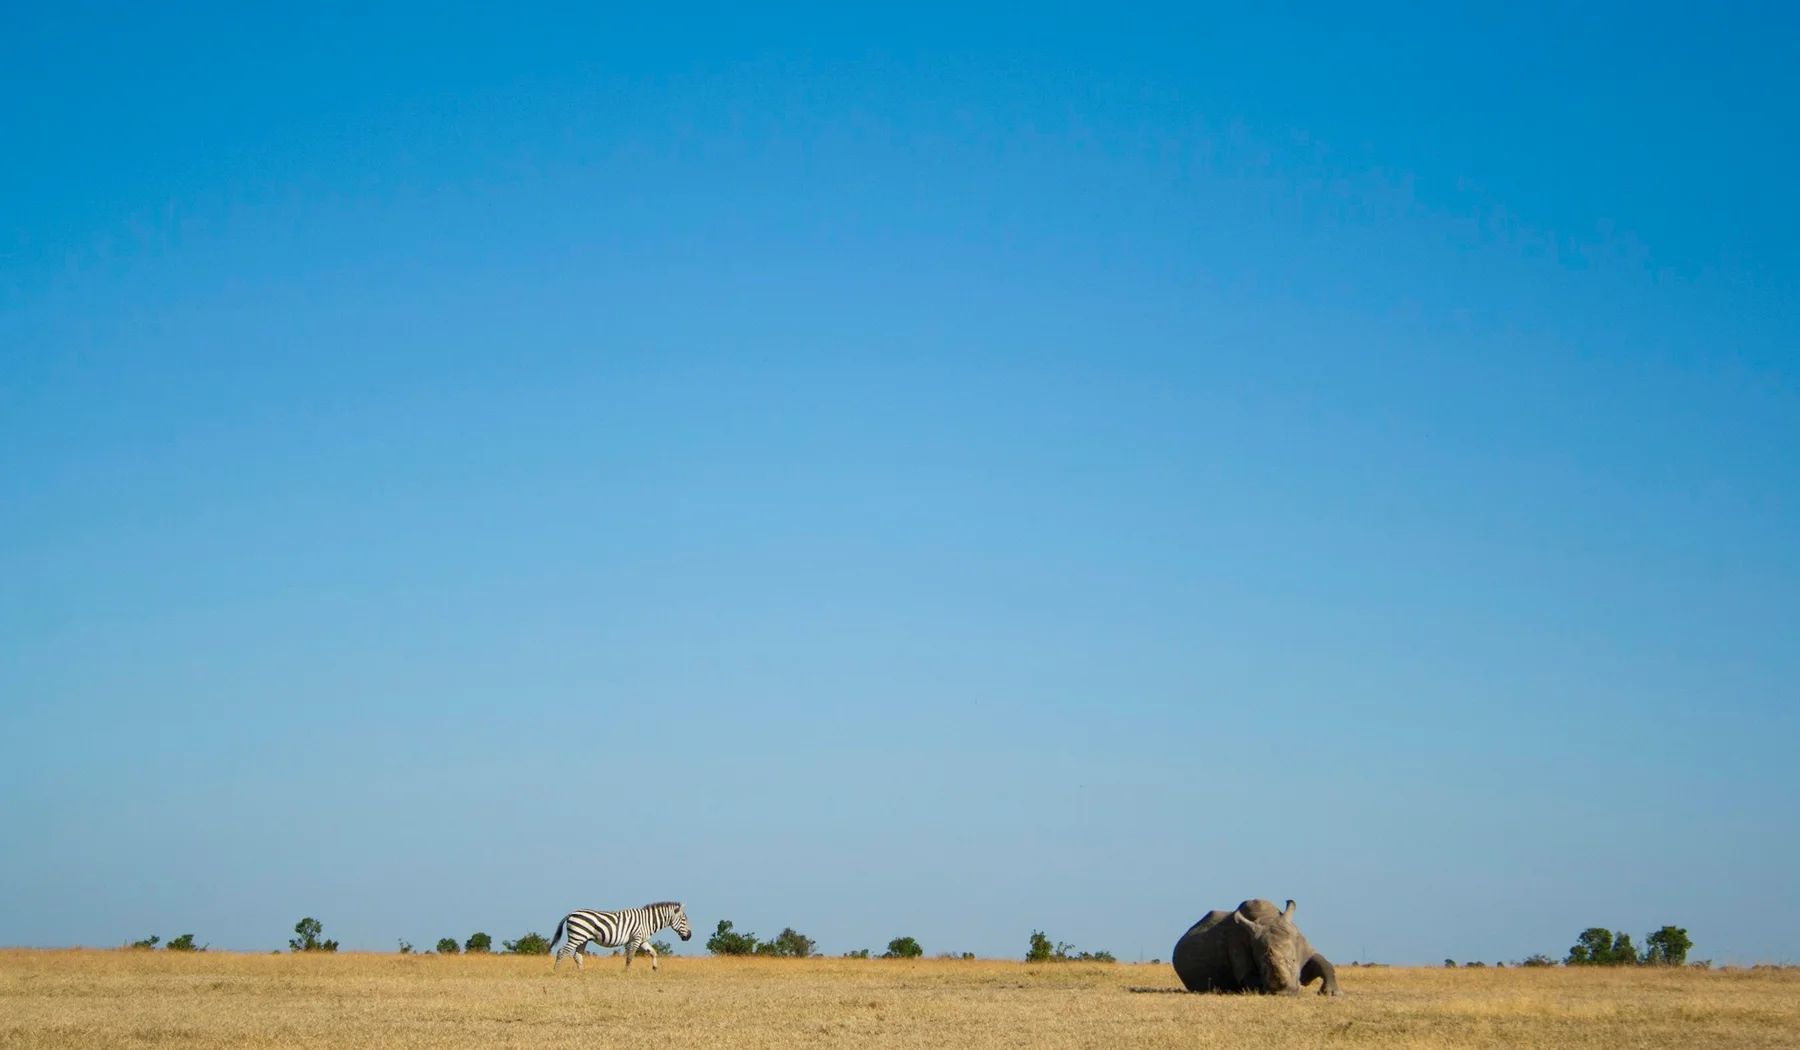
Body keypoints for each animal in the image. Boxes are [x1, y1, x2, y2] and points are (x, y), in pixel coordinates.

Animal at [1172, 899, 1339, 996]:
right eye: (1262, 967)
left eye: (1293, 960)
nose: (1284, 993)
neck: (1267, 918)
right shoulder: (1239, 953)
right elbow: (1249, 978)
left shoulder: (1301, 945)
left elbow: (1322, 962)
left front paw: (1333, 994)